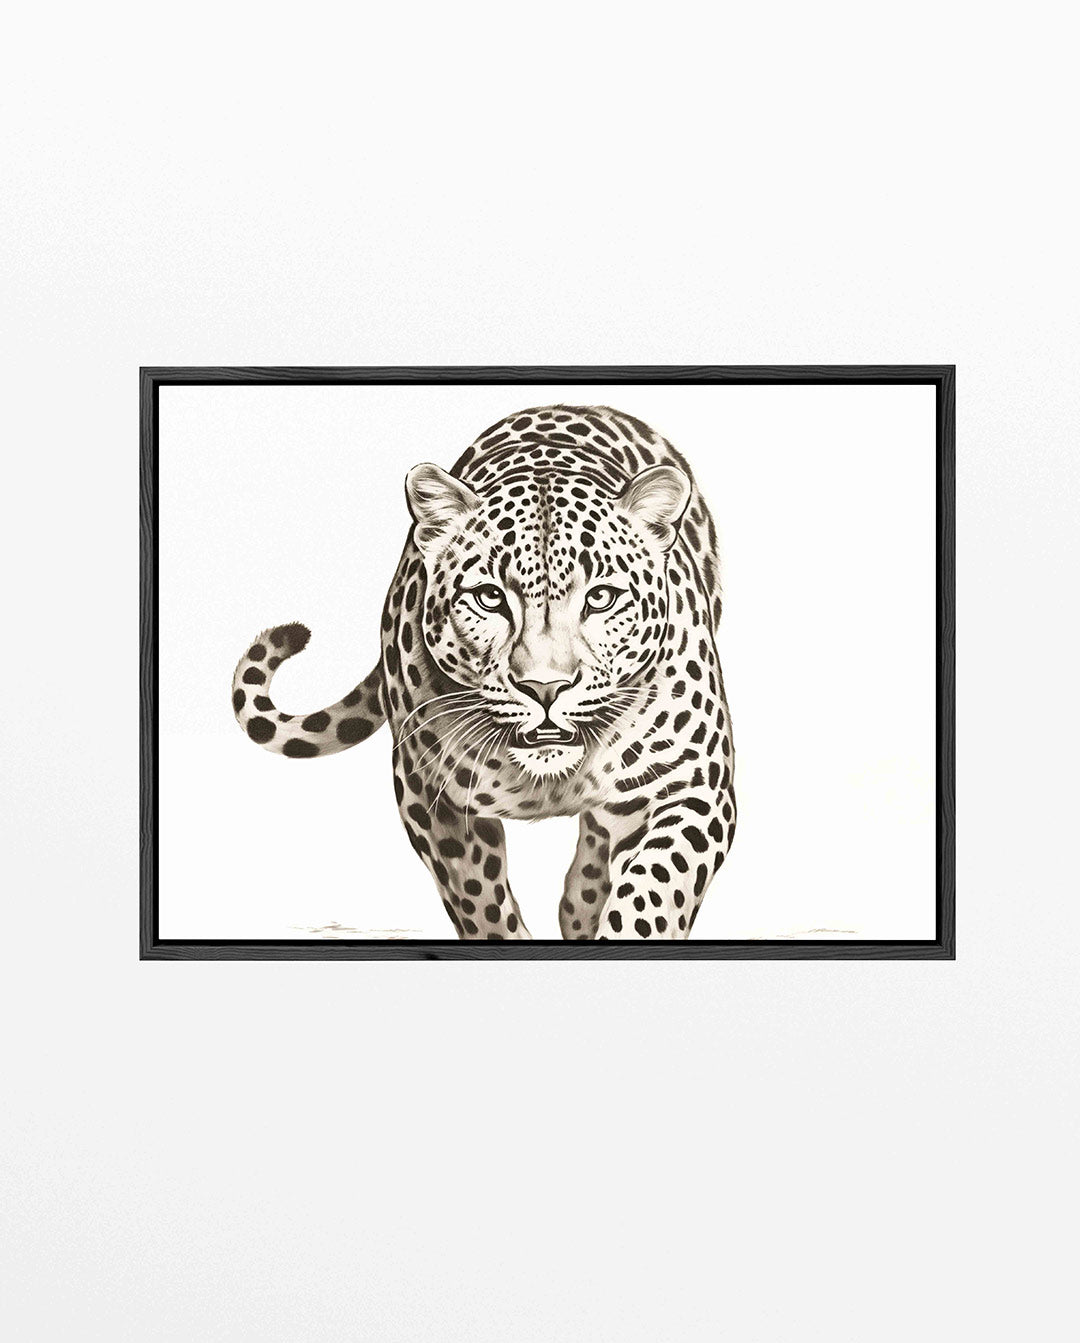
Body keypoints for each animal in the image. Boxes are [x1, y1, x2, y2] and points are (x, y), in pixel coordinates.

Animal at [231, 405, 736, 940]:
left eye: (601, 597)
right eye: (490, 597)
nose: (545, 688)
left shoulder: (695, 788)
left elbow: (654, 891)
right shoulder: (433, 800)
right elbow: (482, 903)